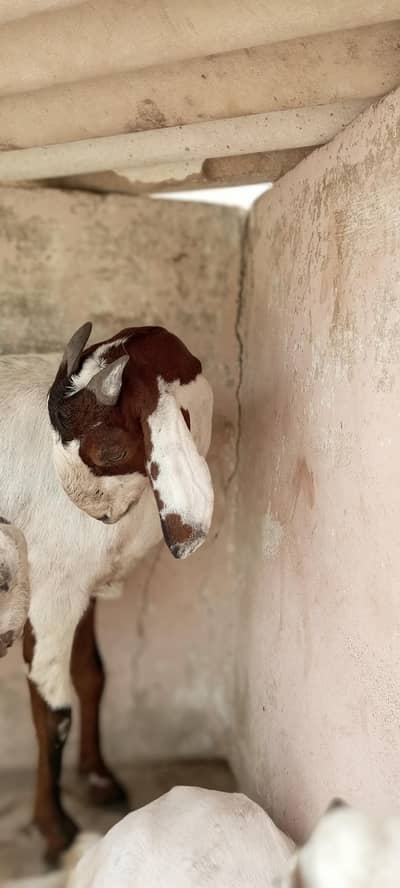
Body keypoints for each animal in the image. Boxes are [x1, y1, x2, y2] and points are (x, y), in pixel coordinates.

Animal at [0, 322, 214, 862]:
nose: (89, 510)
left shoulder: (86, 585)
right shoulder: (51, 591)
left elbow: (92, 675)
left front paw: (99, 779)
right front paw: (56, 829)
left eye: (110, 452)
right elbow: (53, 708)